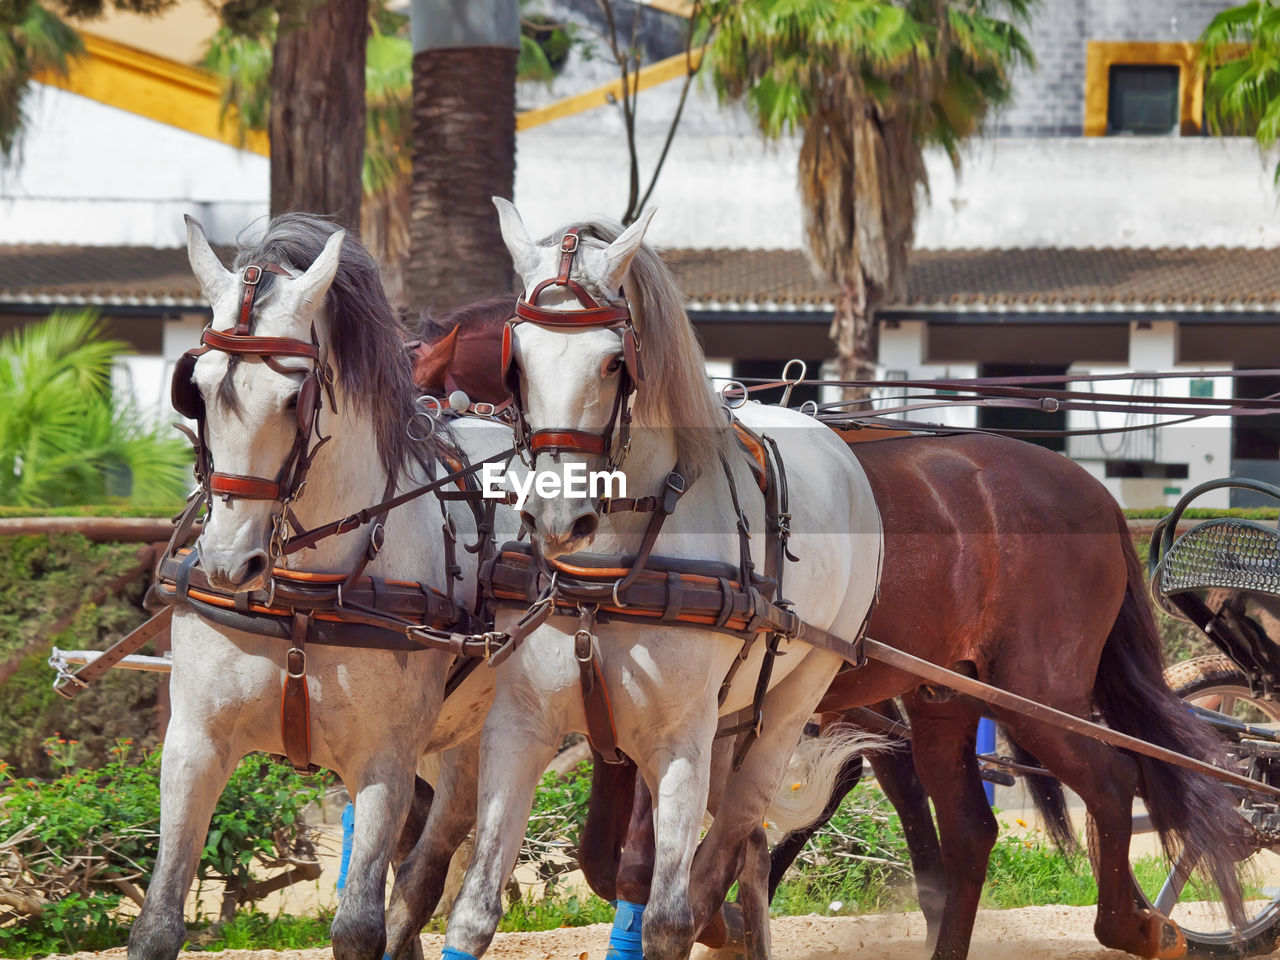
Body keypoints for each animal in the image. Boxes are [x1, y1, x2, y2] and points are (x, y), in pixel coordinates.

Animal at [129, 216, 496, 960]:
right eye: (195, 388)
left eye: (292, 398)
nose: (228, 562)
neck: (302, 590)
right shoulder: (194, 744)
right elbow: (156, 924)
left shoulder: (384, 762)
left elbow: (359, 926)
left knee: (427, 867)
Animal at [435, 204, 885, 960]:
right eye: (515, 363)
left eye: (615, 361)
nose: (557, 516)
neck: (602, 577)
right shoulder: (519, 727)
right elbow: (473, 908)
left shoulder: (678, 740)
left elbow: (667, 918)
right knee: (744, 854)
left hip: (790, 703)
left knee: (729, 843)